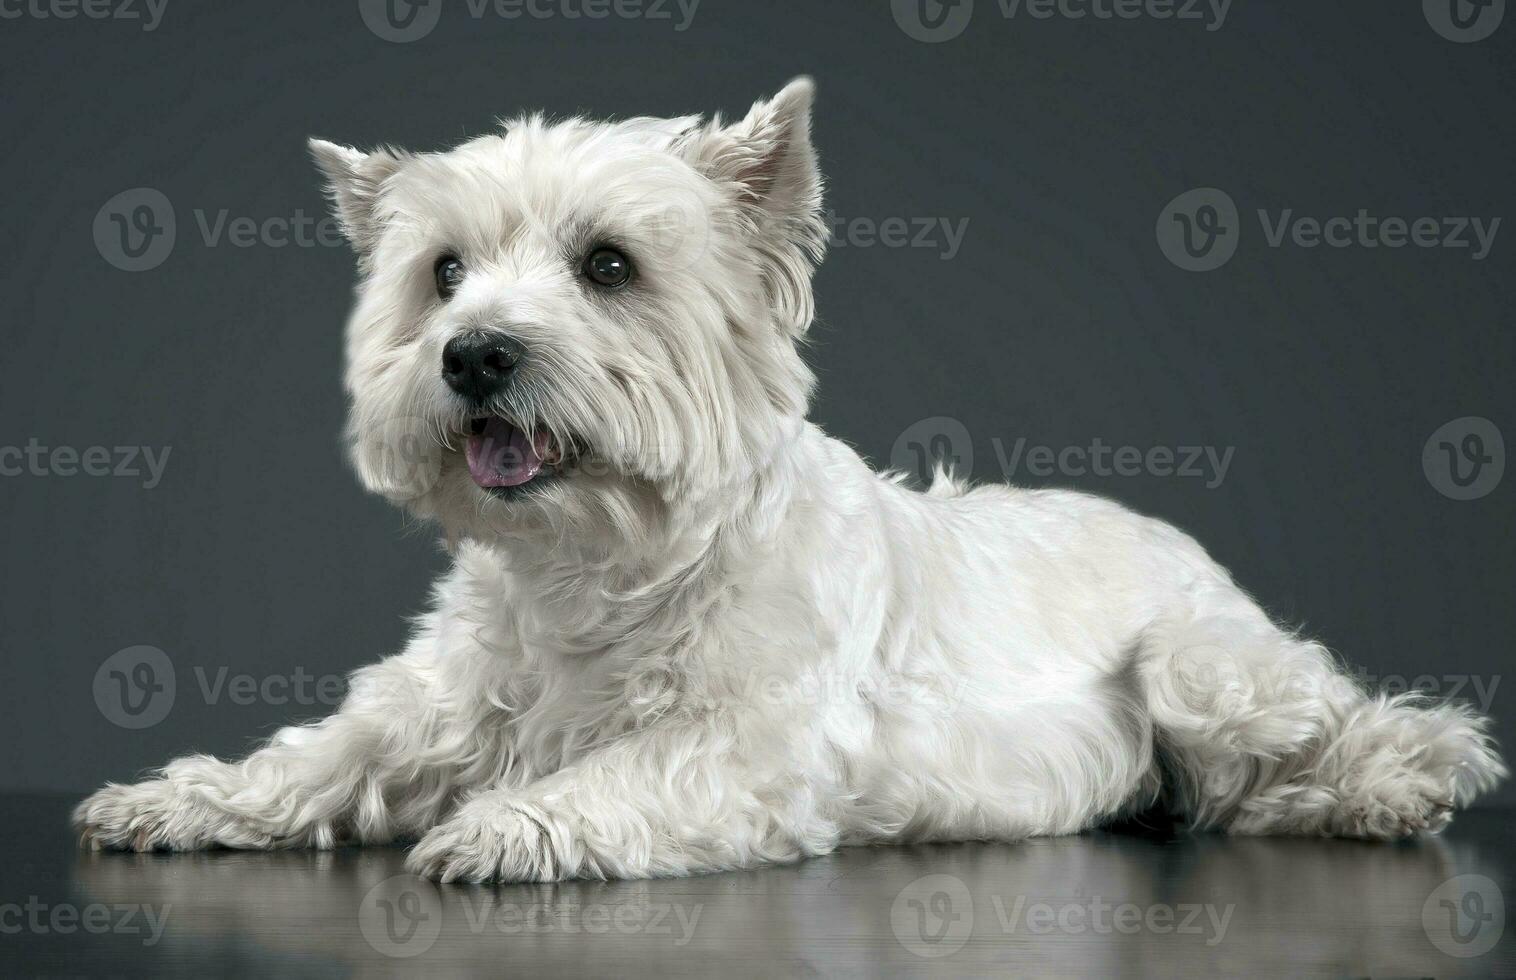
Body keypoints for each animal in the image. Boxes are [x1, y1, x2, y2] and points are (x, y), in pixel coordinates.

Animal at [79, 82, 1503, 885]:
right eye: (441, 272)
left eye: (606, 264)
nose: (474, 352)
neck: (601, 561)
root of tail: (1168, 527)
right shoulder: (435, 703)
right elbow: (320, 751)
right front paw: (171, 797)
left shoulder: (757, 746)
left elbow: (623, 773)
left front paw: (505, 825)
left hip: (1201, 668)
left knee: (1344, 728)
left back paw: (1400, 781)